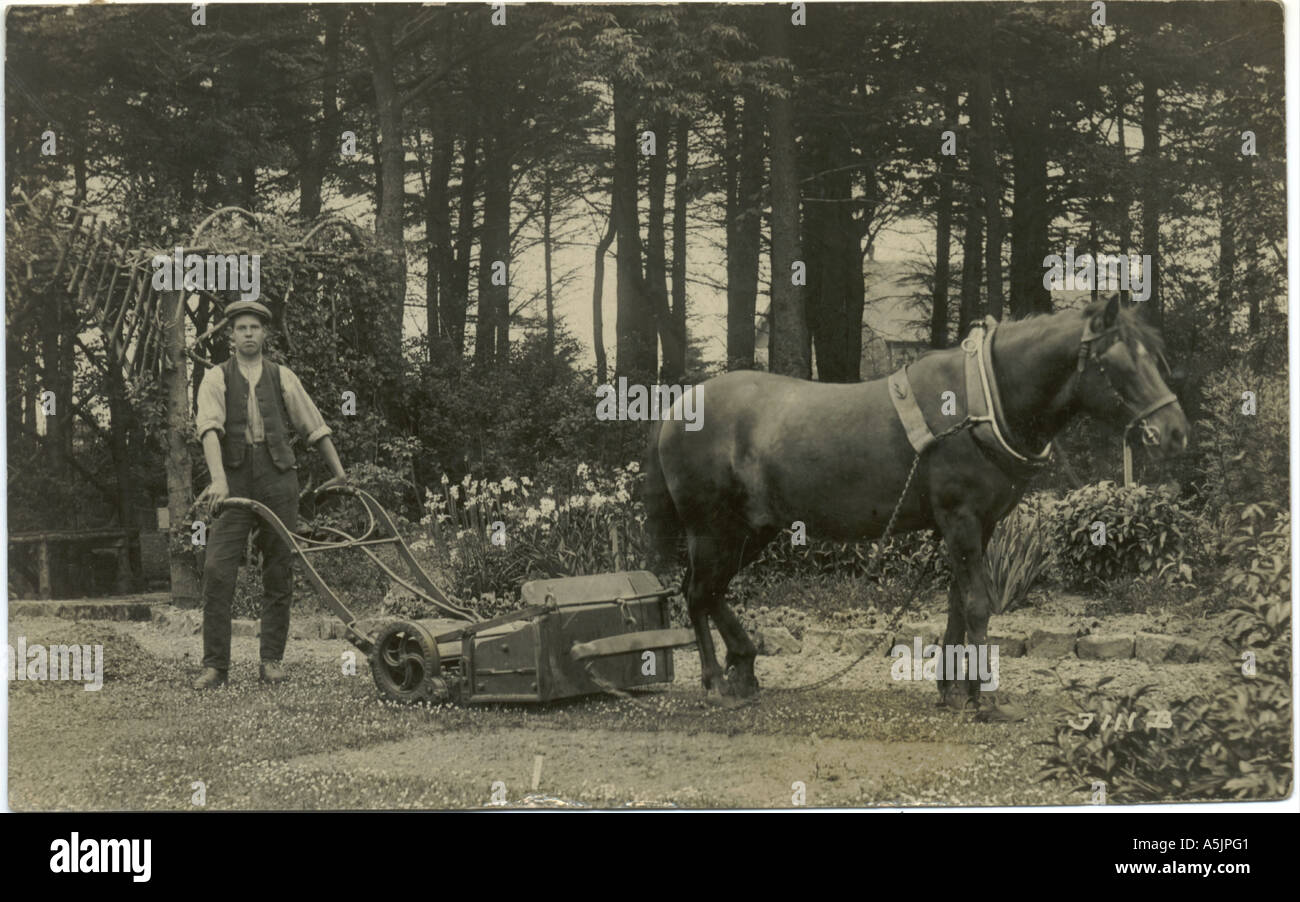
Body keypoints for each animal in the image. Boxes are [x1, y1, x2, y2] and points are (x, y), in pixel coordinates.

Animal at [644, 295, 1189, 708]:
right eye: (1117, 363)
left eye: (1156, 357)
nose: (1176, 433)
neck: (980, 402)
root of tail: (678, 408)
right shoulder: (961, 519)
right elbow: (977, 603)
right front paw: (983, 697)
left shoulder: (978, 526)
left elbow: (956, 603)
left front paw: (953, 689)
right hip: (710, 527)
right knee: (698, 592)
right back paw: (716, 681)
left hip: (753, 529)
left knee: (711, 592)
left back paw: (743, 666)